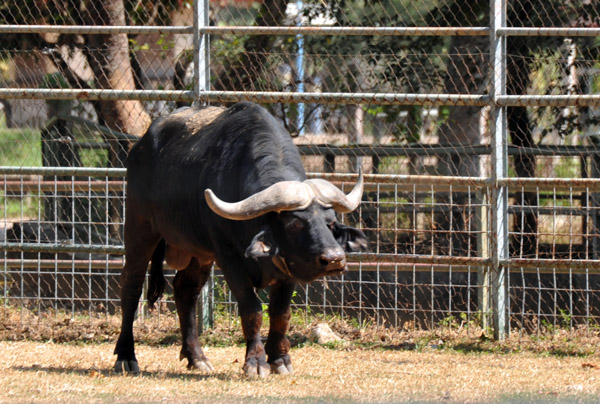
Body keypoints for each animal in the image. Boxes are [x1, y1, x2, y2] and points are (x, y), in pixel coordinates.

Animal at [112, 102, 366, 378]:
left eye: (330, 223)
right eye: (295, 224)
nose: (333, 259)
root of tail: (139, 148)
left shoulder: (287, 266)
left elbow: (281, 314)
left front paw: (280, 359)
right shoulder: (229, 258)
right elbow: (252, 309)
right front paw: (255, 362)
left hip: (199, 252)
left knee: (185, 290)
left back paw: (197, 357)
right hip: (140, 228)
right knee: (132, 285)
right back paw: (126, 357)